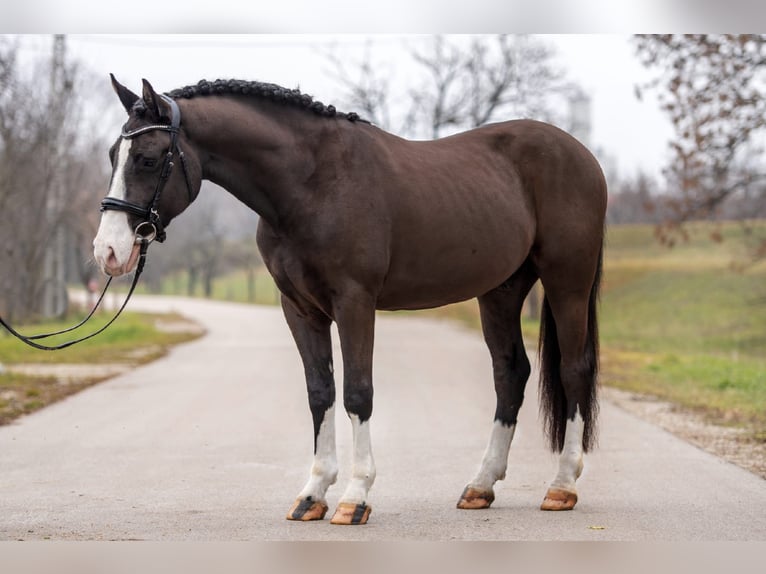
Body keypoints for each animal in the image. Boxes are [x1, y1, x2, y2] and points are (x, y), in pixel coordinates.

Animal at [94, 76, 608, 528]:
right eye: (113, 155)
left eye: (149, 159)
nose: (109, 252)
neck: (311, 183)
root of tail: (581, 153)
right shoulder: (299, 309)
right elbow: (320, 392)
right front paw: (313, 494)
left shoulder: (354, 302)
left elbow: (358, 392)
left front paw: (355, 497)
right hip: (501, 290)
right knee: (510, 373)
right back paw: (480, 486)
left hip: (567, 281)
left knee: (573, 370)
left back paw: (562, 486)